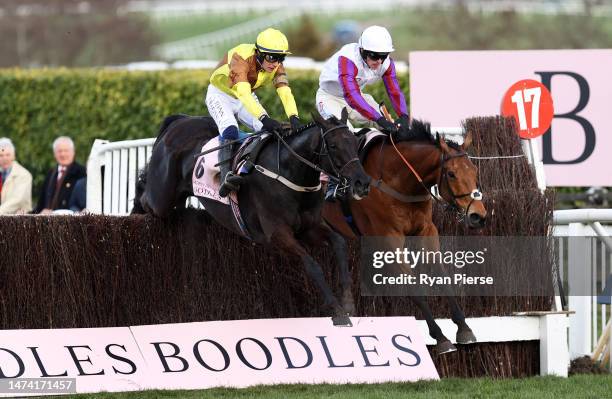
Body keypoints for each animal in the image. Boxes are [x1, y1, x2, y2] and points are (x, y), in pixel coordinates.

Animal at [134, 108, 370, 324]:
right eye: (333, 146)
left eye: (354, 142)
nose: (362, 182)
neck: (290, 171)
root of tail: (180, 121)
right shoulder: (277, 234)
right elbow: (312, 265)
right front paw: (337, 312)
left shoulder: (308, 228)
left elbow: (339, 243)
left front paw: (348, 303)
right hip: (161, 197)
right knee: (144, 193)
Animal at [326, 120, 488, 354]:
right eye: (451, 174)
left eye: (474, 171)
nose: (478, 216)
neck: (397, 180)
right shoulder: (389, 238)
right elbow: (413, 286)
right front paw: (440, 337)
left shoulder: (427, 230)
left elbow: (442, 276)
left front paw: (463, 327)